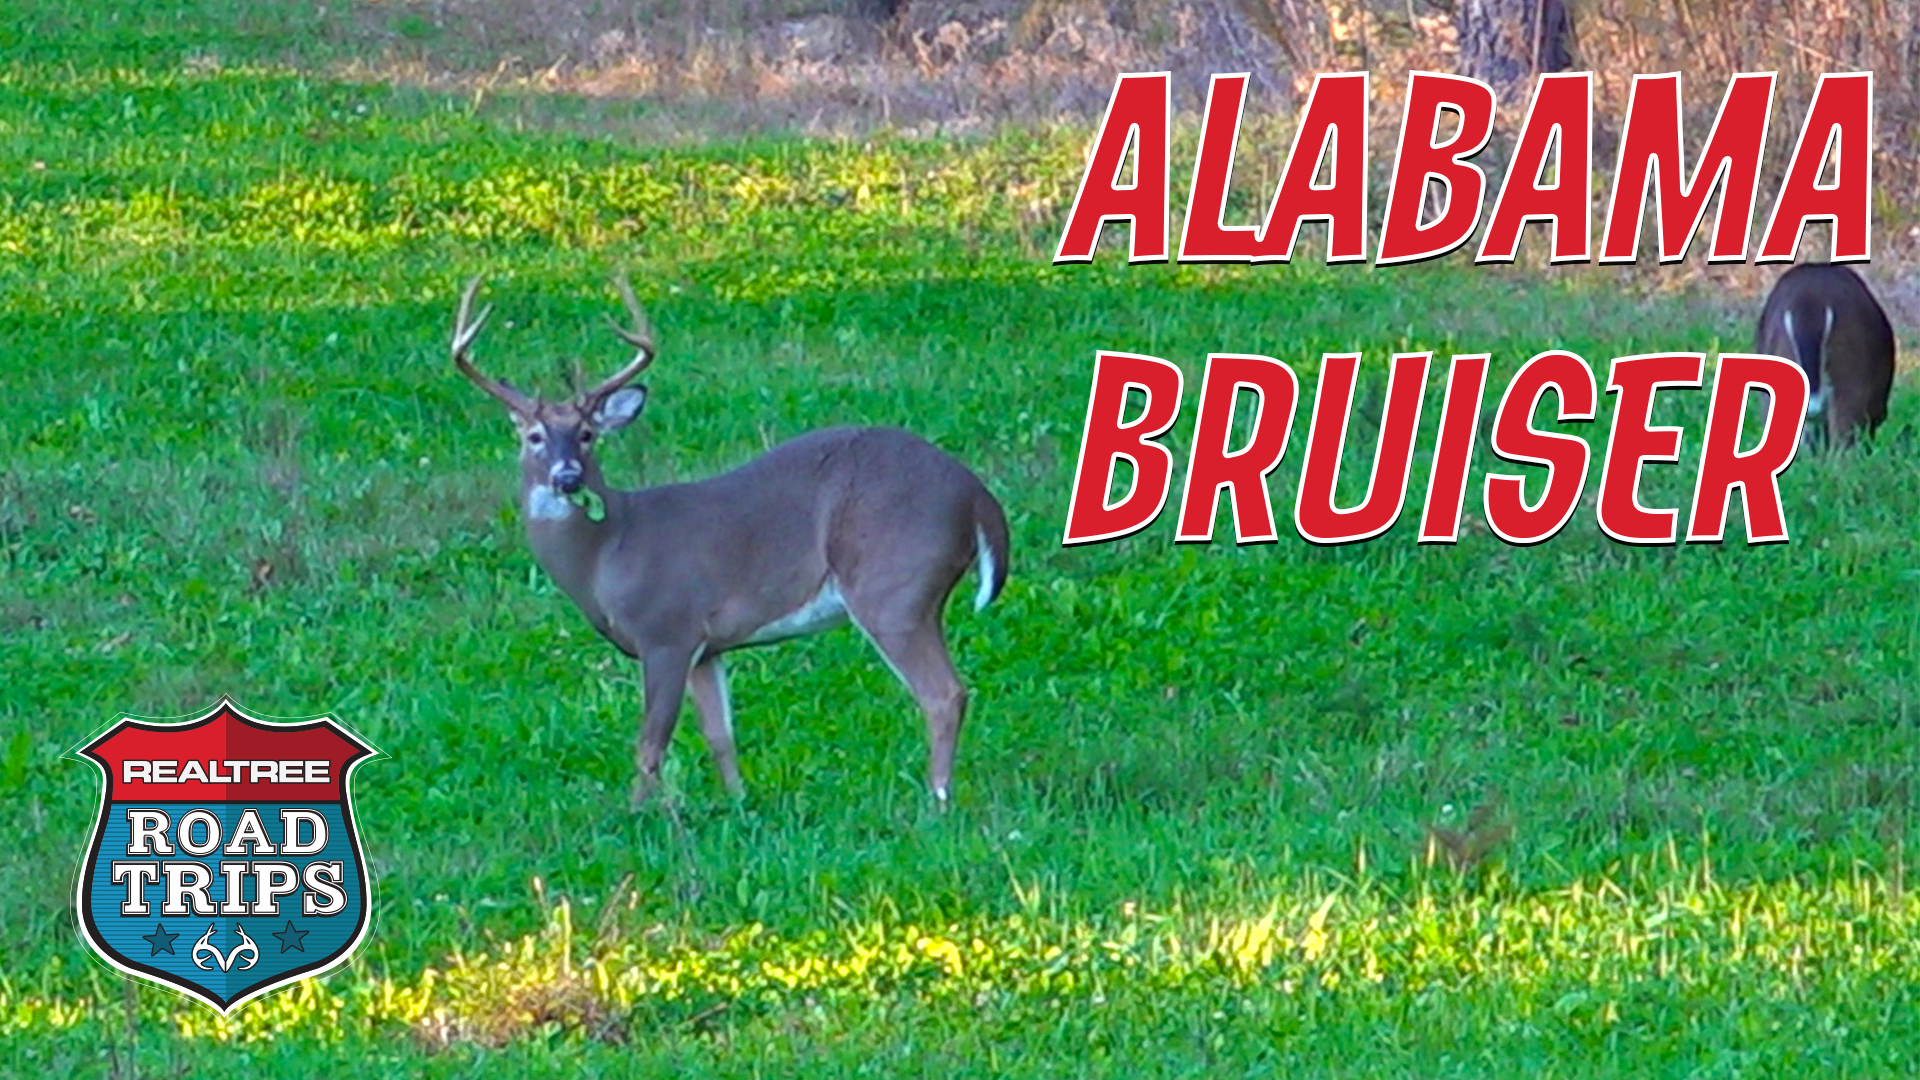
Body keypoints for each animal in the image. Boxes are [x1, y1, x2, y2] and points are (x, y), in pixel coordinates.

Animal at [448, 276, 1011, 810]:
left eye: (587, 434)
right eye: (533, 437)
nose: (567, 477)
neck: (607, 551)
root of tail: (976, 495)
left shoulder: (667, 630)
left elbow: (649, 745)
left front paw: (637, 814)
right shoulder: (708, 647)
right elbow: (720, 735)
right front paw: (738, 802)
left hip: (894, 586)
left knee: (944, 694)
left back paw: (937, 800)